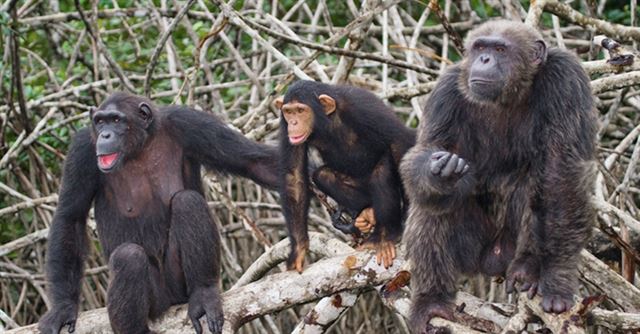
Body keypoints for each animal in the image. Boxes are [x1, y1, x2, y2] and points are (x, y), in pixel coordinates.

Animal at [38, 92, 278, 334]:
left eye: (116, 120)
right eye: (99, 121)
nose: (105, 134)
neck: (140, 146)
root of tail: (170, 300)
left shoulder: (192, 123)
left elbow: (254, 162)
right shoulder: (82, 152)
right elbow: (71, 218)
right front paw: (63, 308)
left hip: (179, 286)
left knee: (187, 202)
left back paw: (203, 295)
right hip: (156, 299)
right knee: (128, 257)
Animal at [276, 81, 418, 272]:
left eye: (300, 110)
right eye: (288, 112)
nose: (293, 122)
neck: (326, 121)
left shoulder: (364, 108)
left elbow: (399, 142)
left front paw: (407, 217)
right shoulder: (285, 128)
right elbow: (294, 176)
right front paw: (298, 250)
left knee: (381, 170)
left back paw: (385, 236)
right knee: (322, 175)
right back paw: (367, 212)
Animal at [400, 20, 600, 332]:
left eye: (500, 49)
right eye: (480, 46)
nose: (484, 59)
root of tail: (491, 262)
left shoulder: (566, 80)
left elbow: (562, 176)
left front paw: (557, 281)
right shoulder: (445, 93)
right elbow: (425, 149)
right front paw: (438, 173)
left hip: (507, 248)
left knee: (537, 183)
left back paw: (528, 268)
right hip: (470, 249)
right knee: (432, 206)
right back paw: (432, 301)